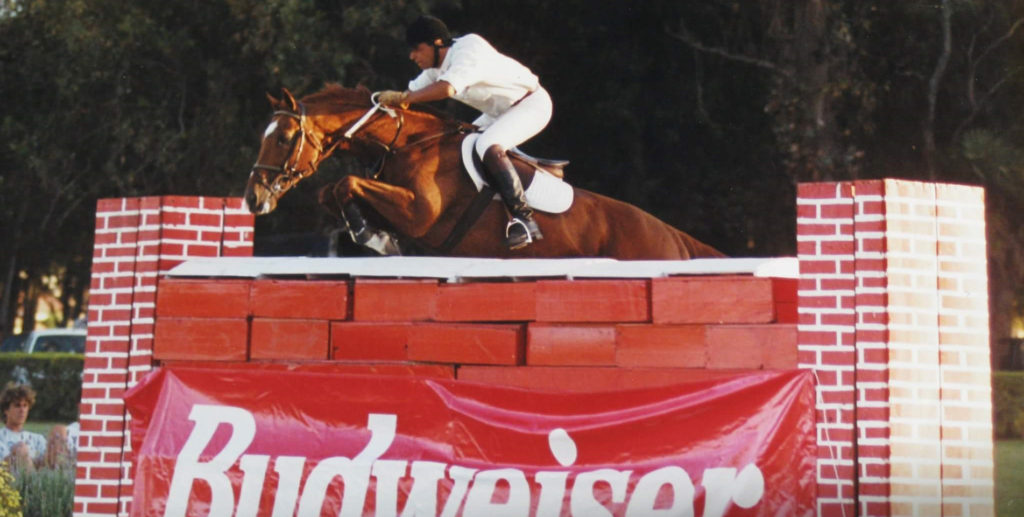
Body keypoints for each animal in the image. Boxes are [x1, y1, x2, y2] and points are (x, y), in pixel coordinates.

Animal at [245, 85, 729, 262]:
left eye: (284, 137)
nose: (254, 198)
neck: (407, 143)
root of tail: (672, 237)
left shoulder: (421, 214)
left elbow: (343, 183)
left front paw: (372, 235)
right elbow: (331, 191)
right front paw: (373, 233)